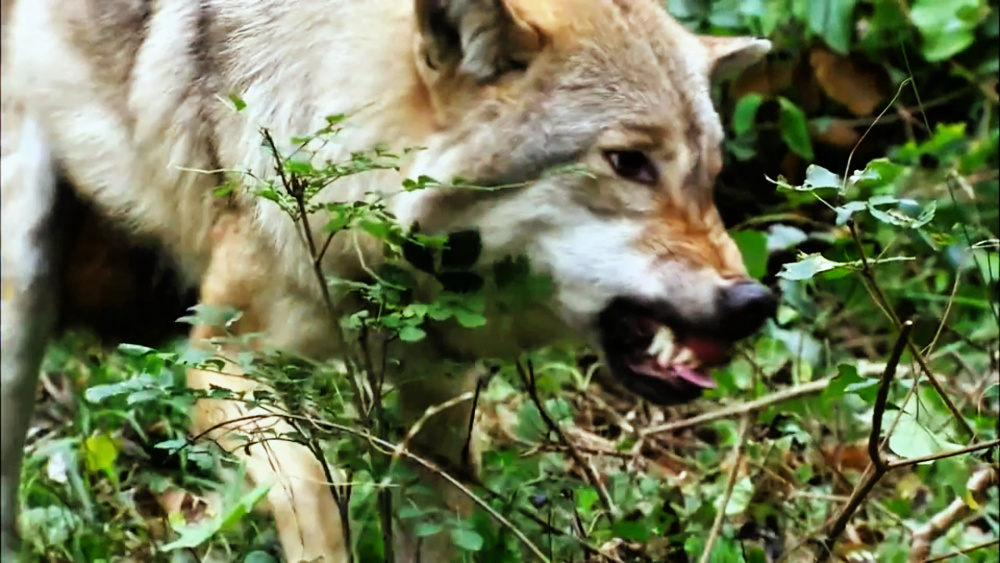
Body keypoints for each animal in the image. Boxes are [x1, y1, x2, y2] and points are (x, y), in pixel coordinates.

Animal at [0, 0, 776, 560]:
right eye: (628, 163)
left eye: (709, 176)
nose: (754, 301)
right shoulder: (219, 364)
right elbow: (314, 495)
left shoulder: (436, 407)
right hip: (20, 293)